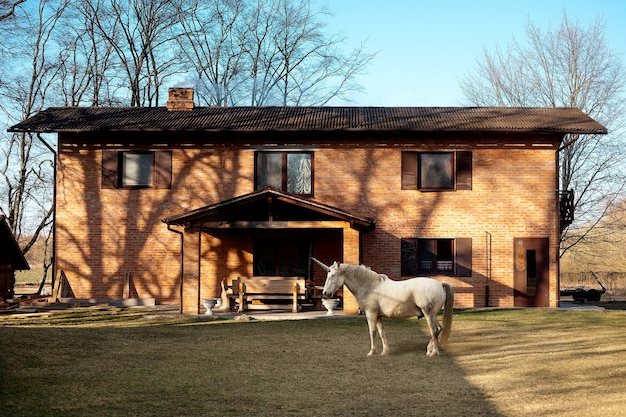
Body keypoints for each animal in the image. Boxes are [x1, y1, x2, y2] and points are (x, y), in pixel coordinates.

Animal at [312, 258, 454, 356]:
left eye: (332, 276)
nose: (325, 293)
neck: (371, 286)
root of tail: (440, 284)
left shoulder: (371, 314)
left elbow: (372, 332)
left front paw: (371, 352)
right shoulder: (378, 316)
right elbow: (381, 332)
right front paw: (385, 351)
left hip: (429, 314)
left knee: (434, 330)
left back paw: (433, 352)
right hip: (432, 315)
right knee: (438, 329)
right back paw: (429, 349)